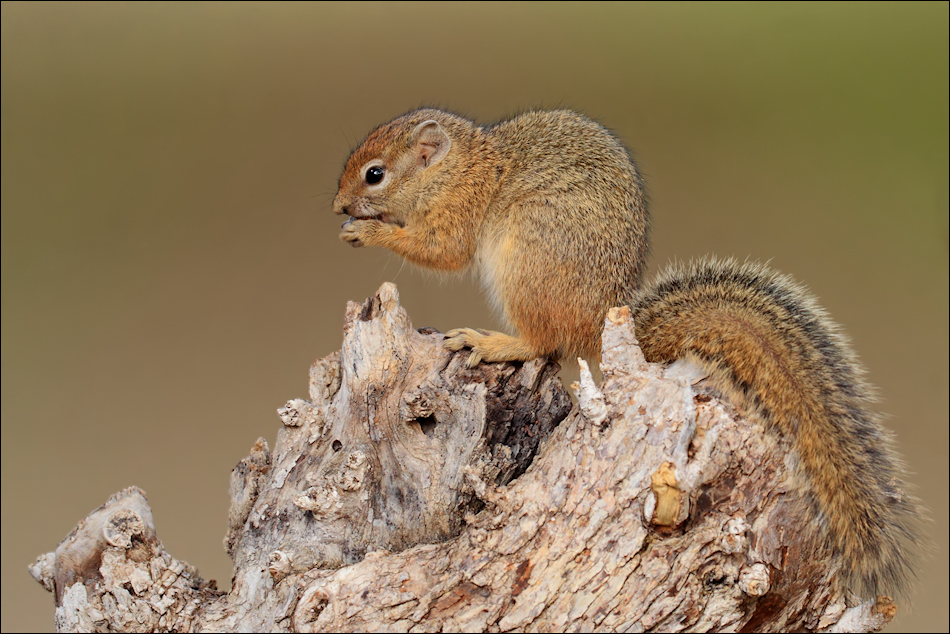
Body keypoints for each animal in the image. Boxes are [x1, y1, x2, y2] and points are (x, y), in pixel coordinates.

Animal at [330, 106, 920, 596]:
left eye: (375, 173)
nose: (337, 206)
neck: (461, 168)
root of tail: (602, 320)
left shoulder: (455, 213)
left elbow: (439, 251)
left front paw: (368, 233)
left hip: (528, 262)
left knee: (542, 342)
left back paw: (495, 342)